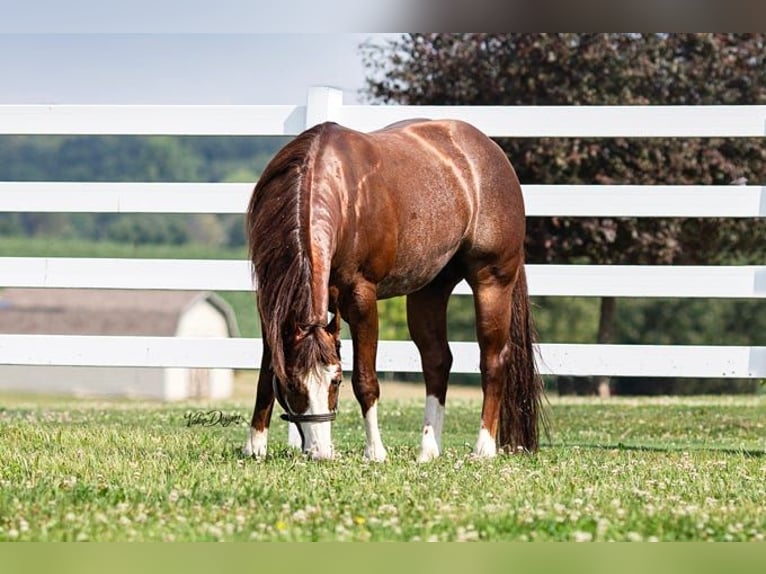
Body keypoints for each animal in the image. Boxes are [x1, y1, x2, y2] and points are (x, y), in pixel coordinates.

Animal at [242, 118, 545, 462]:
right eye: (292, 384)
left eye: (336, 381)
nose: (320, 451)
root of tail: (490, 149)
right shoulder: (271, 303)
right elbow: (266, 373)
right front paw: (255, 446)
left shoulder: (361, 297)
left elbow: (365, 380)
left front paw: (375, 451)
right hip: (429, 290)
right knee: (437, 360)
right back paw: (428, 449)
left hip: (492, 282)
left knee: (493, 360)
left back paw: (483, 448)